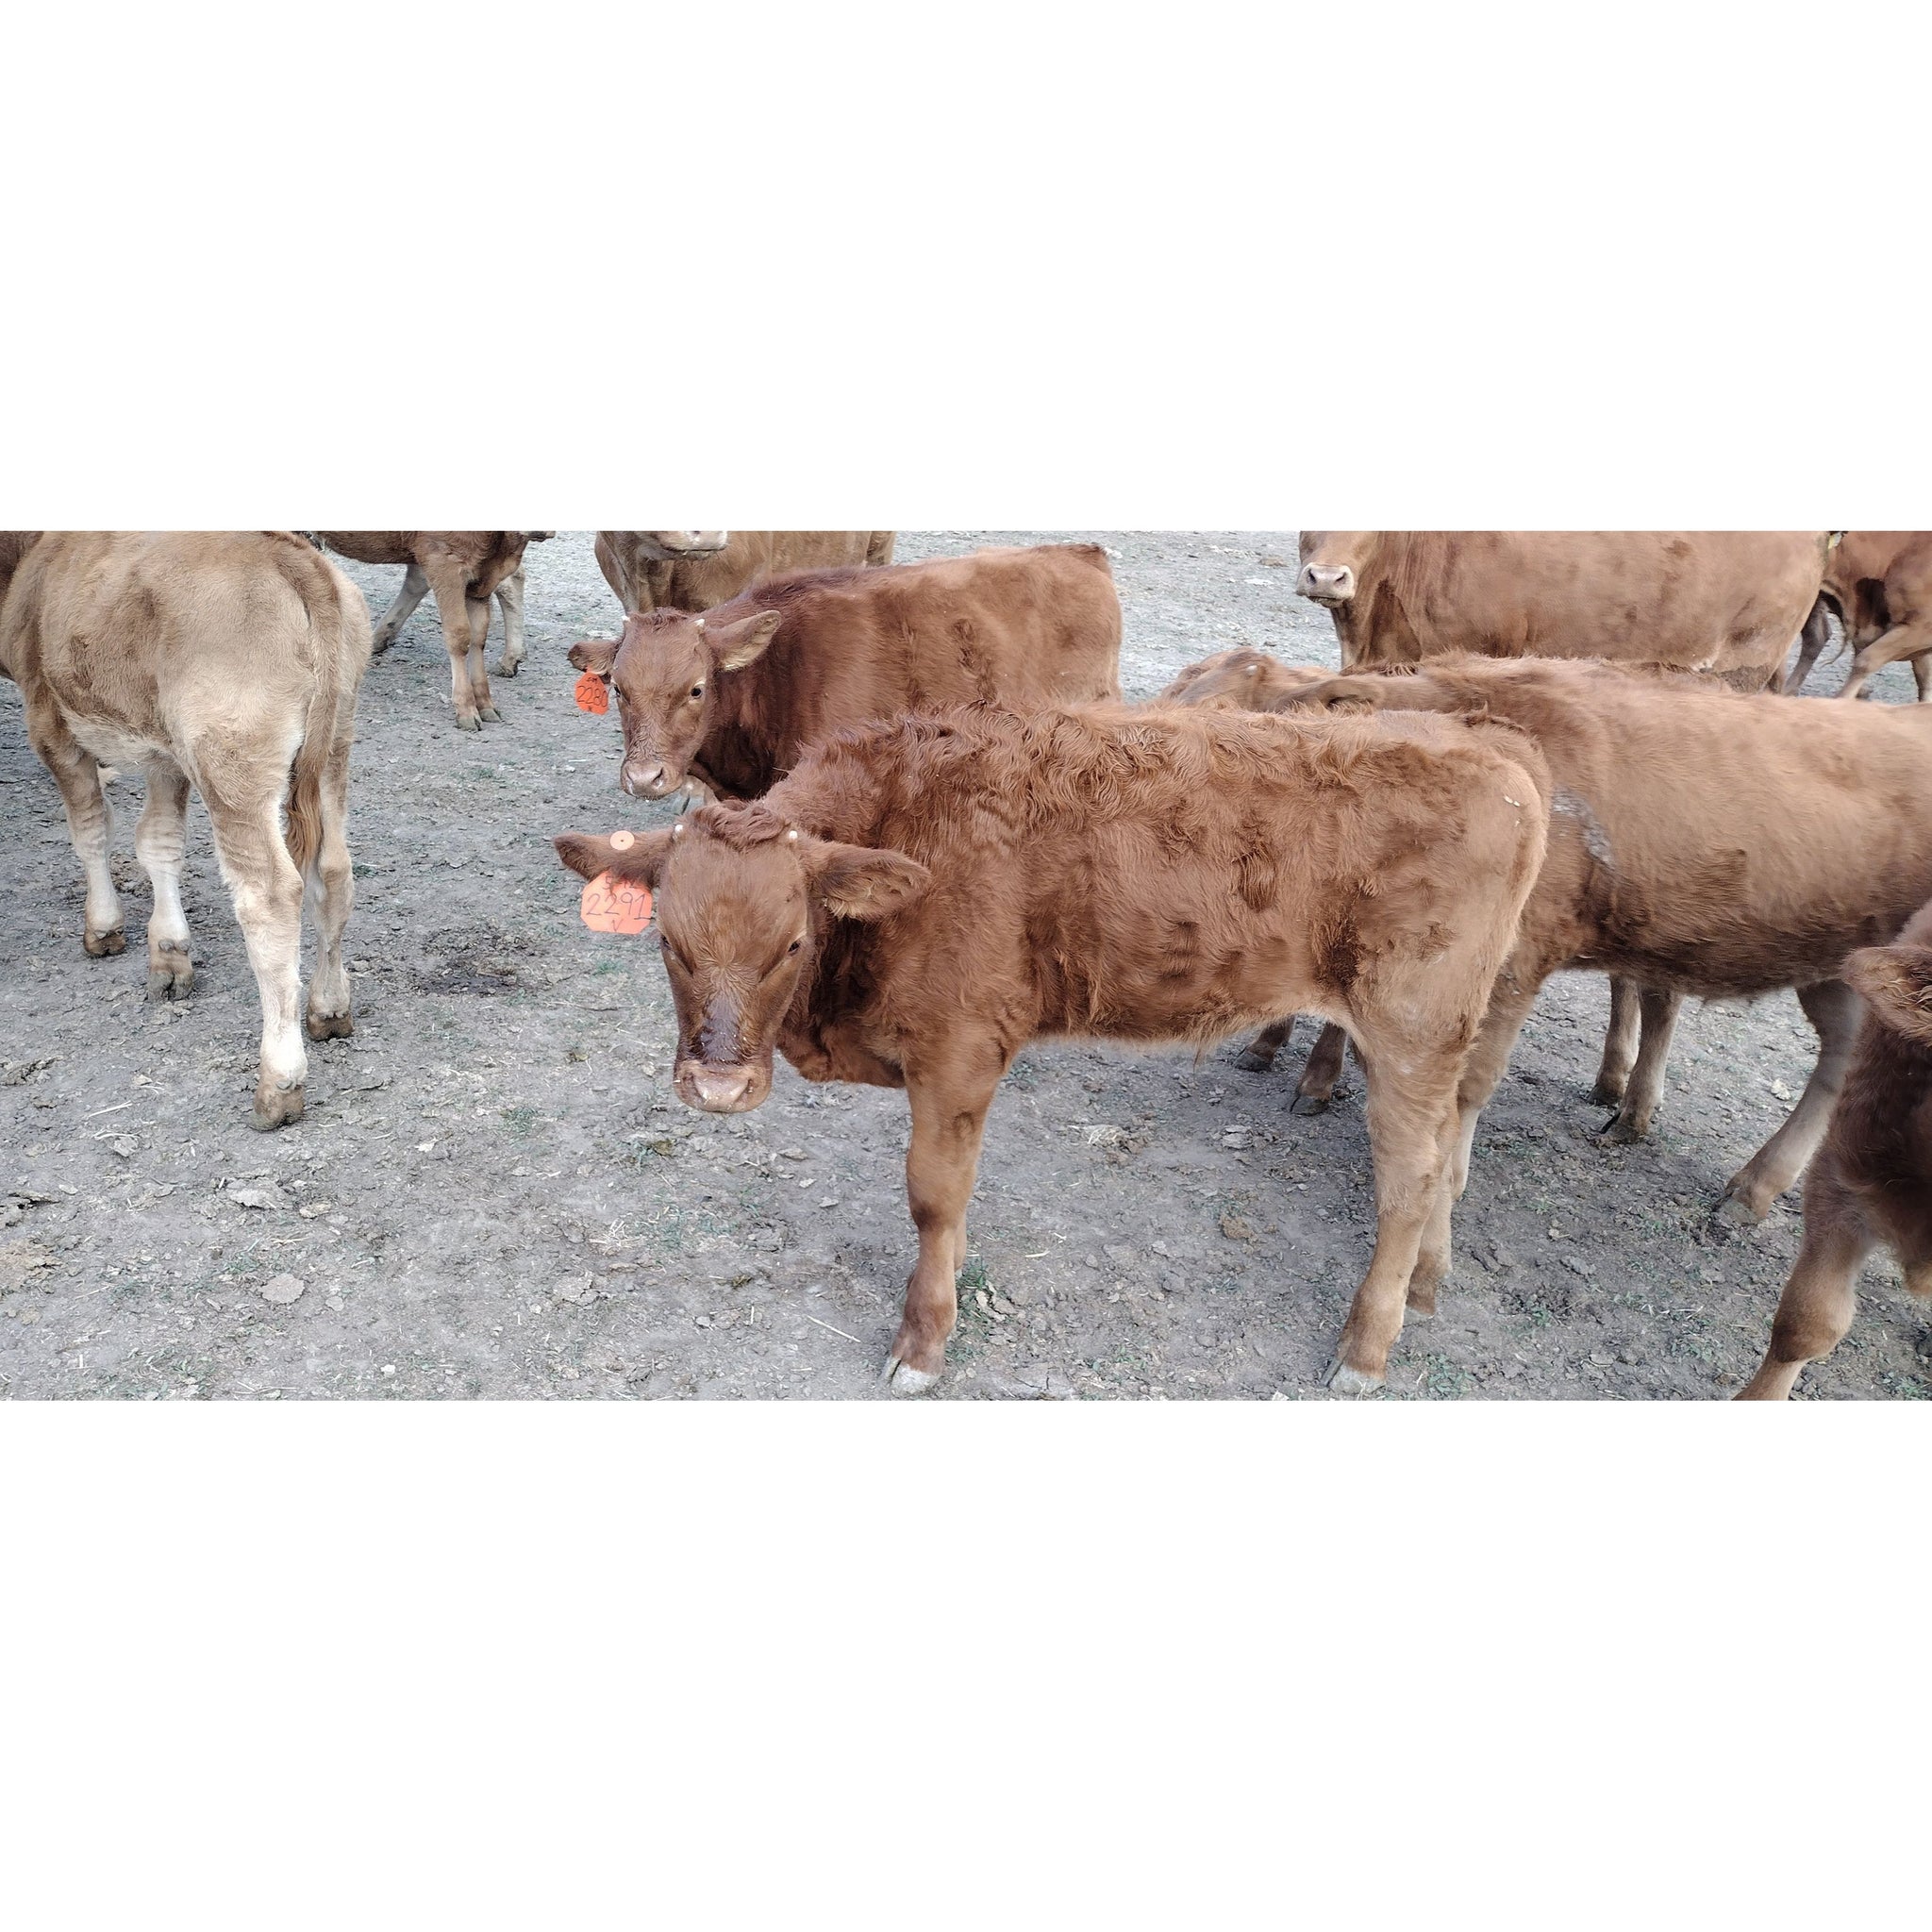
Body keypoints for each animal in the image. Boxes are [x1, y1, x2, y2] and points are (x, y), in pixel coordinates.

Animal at [0, 531, 371, 1130]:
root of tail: (289, 554)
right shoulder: (165, 753)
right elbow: (158, 842)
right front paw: (170, 952)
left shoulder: (49, 717)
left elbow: (91, 828)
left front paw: (103, 927)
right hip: (336, 743)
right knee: (334, 874)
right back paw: (330, 1007)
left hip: (232, 758)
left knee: (269, 895)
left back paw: (279, 1080)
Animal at [315, 531, 549, 729]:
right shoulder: (450, 564)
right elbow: (465, 636)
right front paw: (473, 709)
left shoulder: (466, 573)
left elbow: (471, 637)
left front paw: (478, 708)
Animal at [554, 700, 1551, 1395]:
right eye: (669, 942)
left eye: (791, 944)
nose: (718, 1086)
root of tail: (1490, 744)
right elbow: (953, 1202)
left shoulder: (958, 1053)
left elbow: (932, 1196)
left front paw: (924, 1338)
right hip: (1446, 1040)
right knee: (1450, 1154)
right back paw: (1427, 1285)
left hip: (1410, 1032)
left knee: (1409, 1183)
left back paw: (1366, 1347)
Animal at [1255, 657, 1932, 1268]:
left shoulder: (1511, 961)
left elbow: (1466, 1080)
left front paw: (1445, 1182)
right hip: (1840, 967)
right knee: (1841, 1054)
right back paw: (1750, 1185)